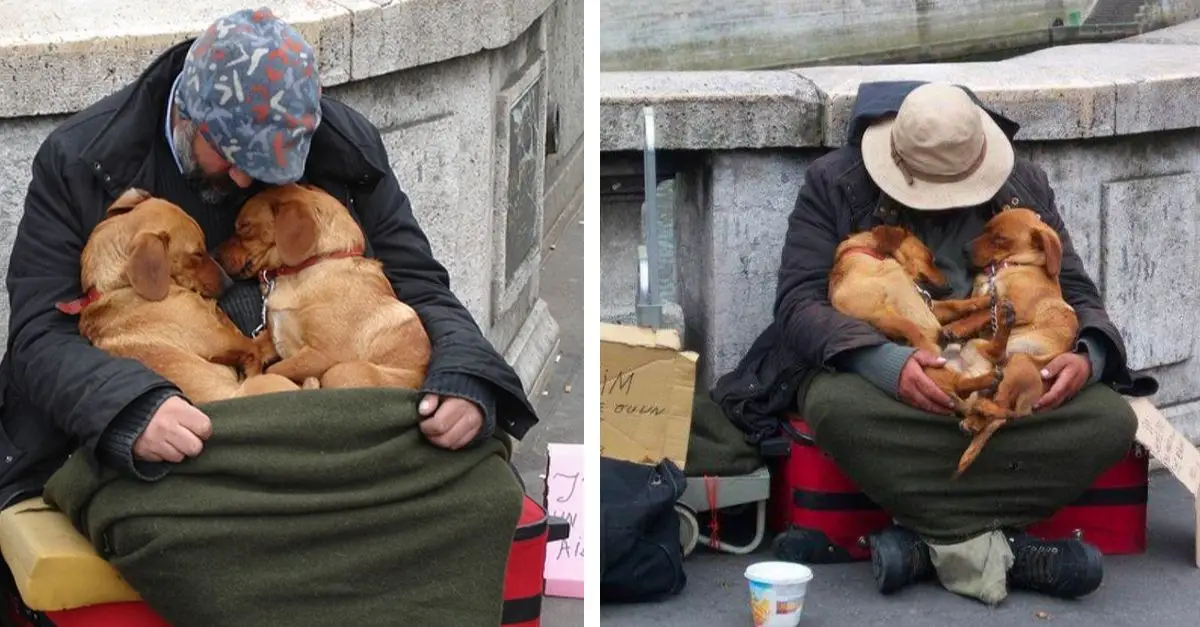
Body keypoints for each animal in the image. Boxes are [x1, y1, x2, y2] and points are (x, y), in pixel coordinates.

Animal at [216, 180, 432, 386]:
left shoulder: (322, 355)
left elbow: (273, 371)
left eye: (244, 226)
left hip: (341, 371)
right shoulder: (273, 337)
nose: (215, 256)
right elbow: (252, 346)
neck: (318, 261)